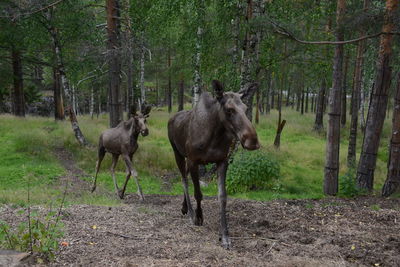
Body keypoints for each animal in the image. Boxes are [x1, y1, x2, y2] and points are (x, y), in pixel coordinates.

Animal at [168, 80, 260, 249]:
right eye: (229, 109)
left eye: (246, 108)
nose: (253, 141)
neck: (214, 135)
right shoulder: (194, 160)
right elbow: (198, 193)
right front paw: (198, 217)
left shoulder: (222, 161)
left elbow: (222, 196)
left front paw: (224, 236)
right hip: (177, 153)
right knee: (183, 179)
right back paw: (190, 212)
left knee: (185, 177)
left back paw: (185, 207)